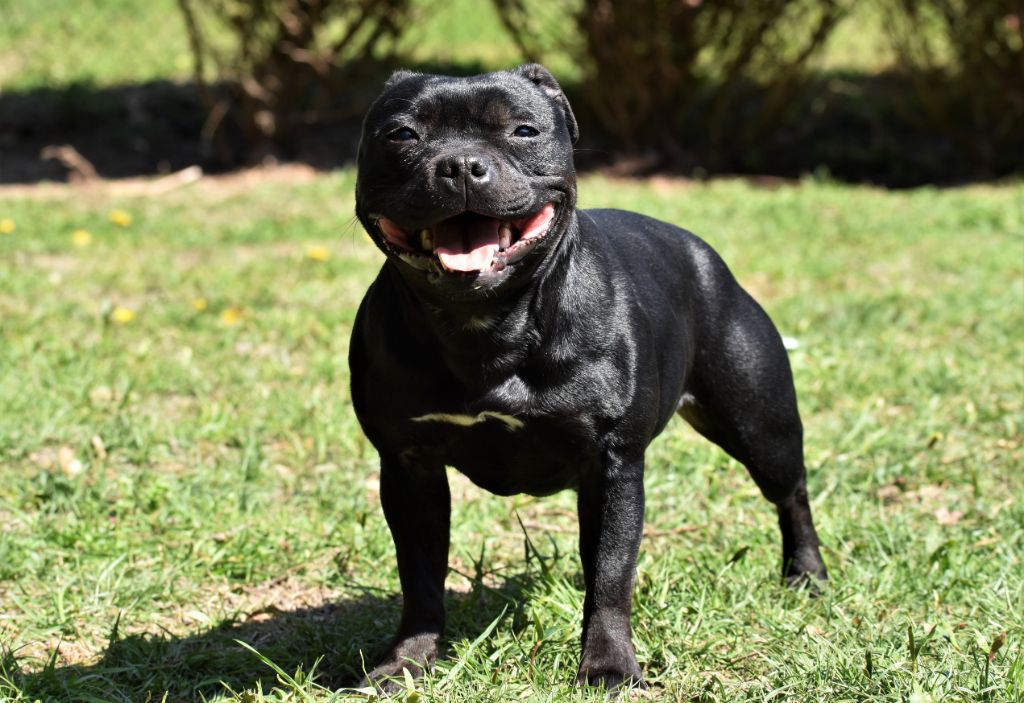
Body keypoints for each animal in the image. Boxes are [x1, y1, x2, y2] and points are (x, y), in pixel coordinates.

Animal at [348, 63, 827, 691]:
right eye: (402, 135)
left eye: (524, 130)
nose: (460, 164)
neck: (490, 323)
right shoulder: (409, 468)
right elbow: (420, 576)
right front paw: (406, 662)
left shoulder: (612, 463)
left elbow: (610, 574)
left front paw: (609, 665)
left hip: (758, 424)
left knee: (791, 493)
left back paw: (807, 574)